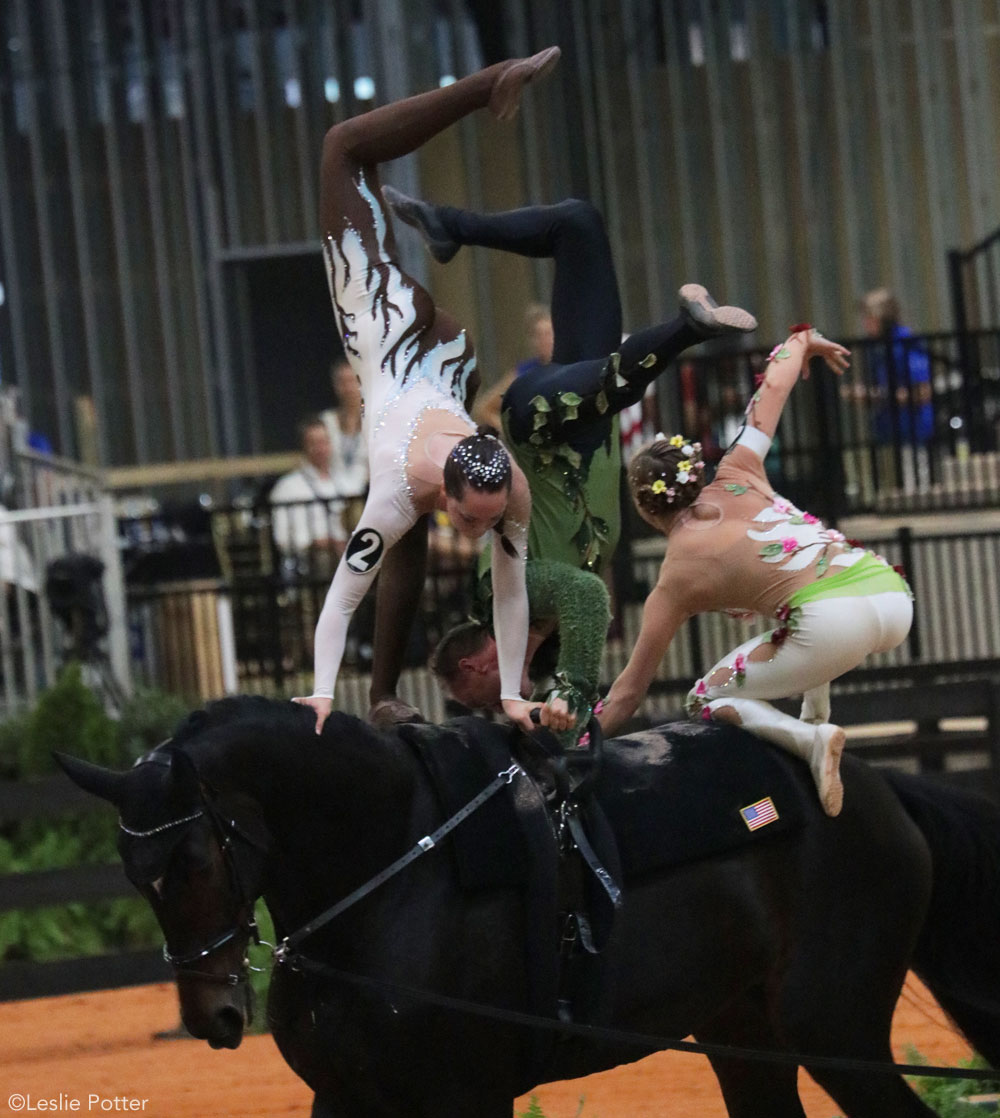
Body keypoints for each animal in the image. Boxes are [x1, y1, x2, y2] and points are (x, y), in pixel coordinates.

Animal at [58, 693, 1000, 1113]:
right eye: (134, 873)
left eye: (189, 860)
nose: (212, 1015)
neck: (395, 876)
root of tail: (877, 788)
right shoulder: (346, 1098)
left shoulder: (466, 1100)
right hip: (747, 1040)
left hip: (837, 1037)